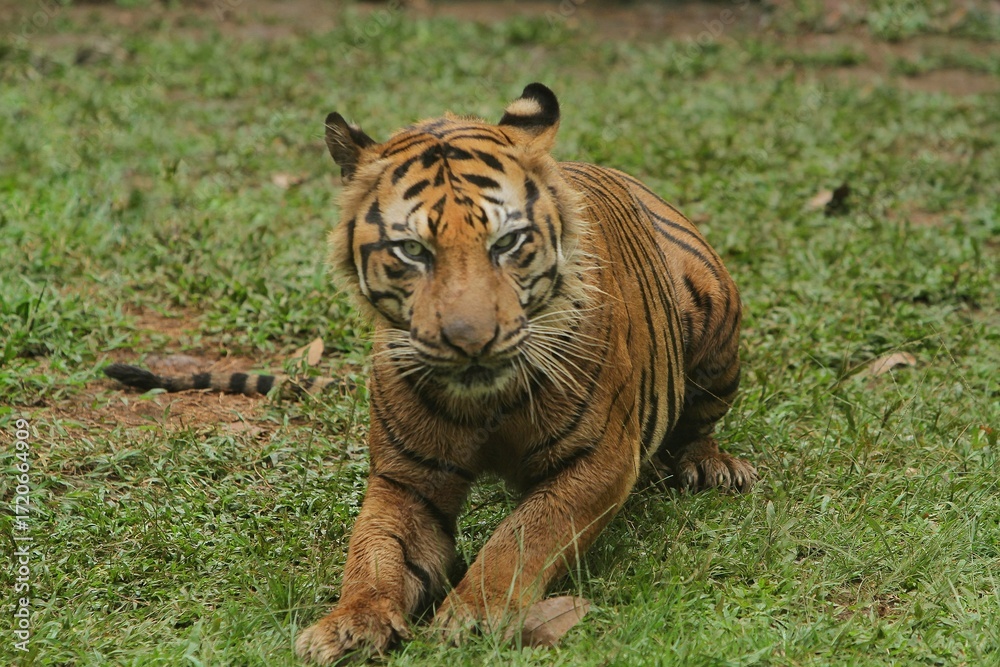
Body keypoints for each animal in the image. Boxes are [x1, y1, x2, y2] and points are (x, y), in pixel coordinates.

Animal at [288, 83, 758, 664]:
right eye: (413, 250)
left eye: (506, 243)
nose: (471, 341)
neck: (485, 403)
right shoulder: (406, 480)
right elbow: (375, 555)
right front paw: (349, 626)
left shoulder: (598, 460)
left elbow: (520, 541)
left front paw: (471, 619)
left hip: (716, 312)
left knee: (699, 424)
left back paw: (710, 467)